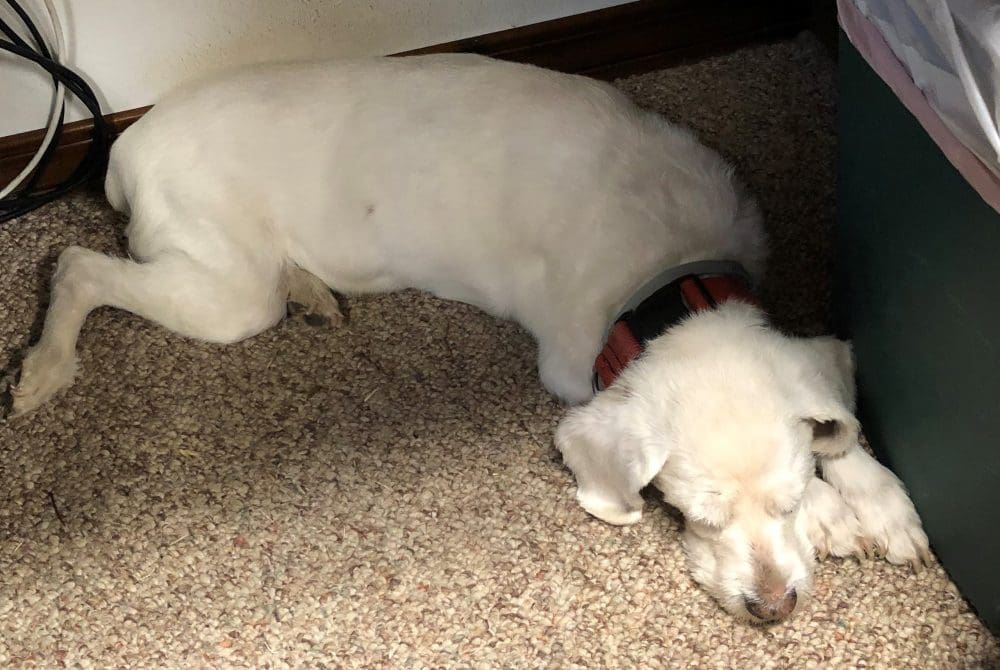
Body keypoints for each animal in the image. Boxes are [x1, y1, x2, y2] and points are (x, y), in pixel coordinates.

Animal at [8, 54, 930, 623]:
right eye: (694, 516)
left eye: (783, 501)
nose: (773, 609)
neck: (675, 272)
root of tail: (127, 143)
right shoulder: (575, 364)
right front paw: (840, 519)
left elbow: (835, 424)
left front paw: (873, 502)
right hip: (227, 293)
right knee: (79, 266)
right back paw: (45, 367)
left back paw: (314, 289)